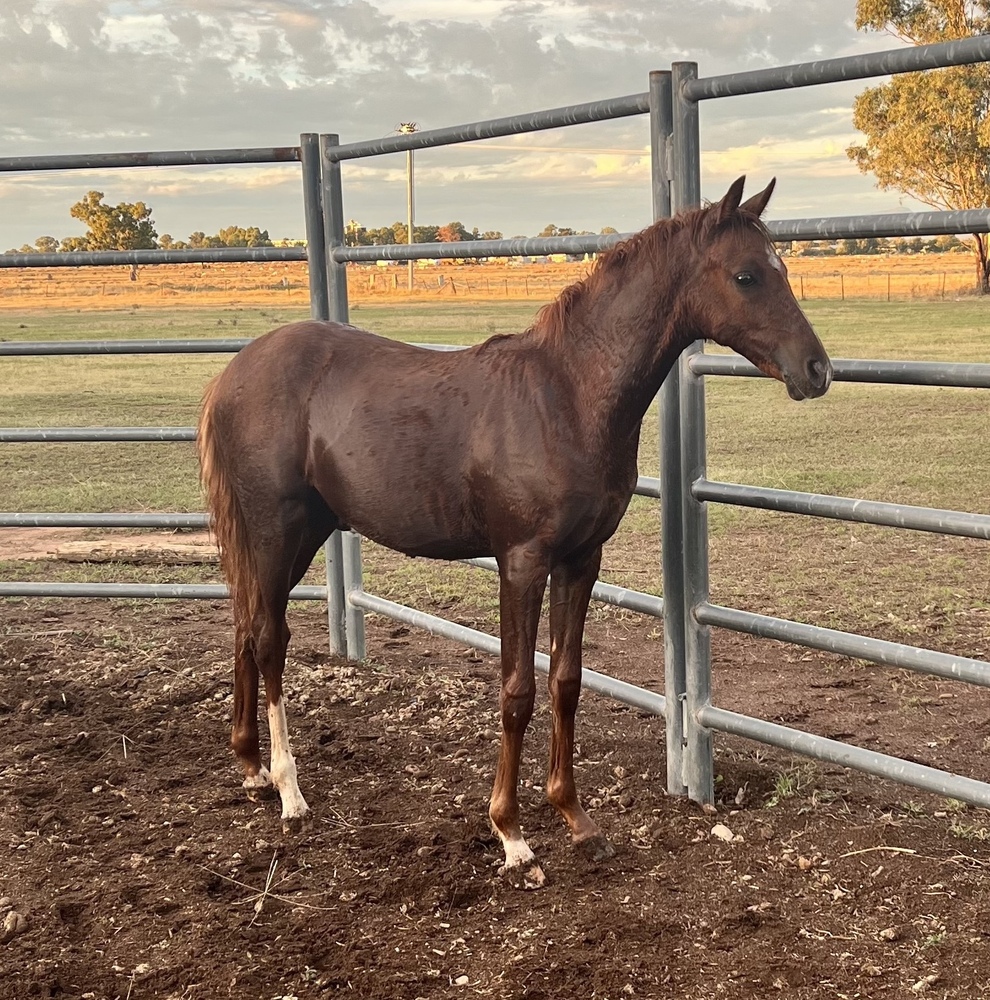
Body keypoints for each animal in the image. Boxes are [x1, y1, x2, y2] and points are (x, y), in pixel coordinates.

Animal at [197, 176, 832, 889]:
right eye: (747, 275)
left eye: (782, 268)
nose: (817, 370)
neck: (566, 395)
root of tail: (233, 373)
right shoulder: (522, 563)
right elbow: (517, 691)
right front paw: (512, 833)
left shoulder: (581, 560)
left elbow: (566, 682)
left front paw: (577, 820)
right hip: (277, 530)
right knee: (268, 639)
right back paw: (289, 789)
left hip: (298, 535)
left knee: (247, 626)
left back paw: (252, 767)